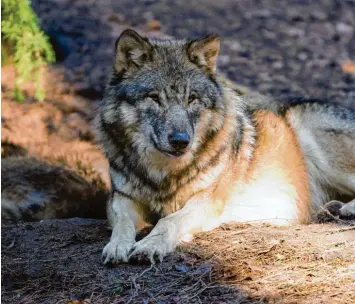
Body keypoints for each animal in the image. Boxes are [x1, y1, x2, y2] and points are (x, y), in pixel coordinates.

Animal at [95, 29, 355, 264]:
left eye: (192, 99)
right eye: (154, 98)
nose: (180, 140)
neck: (164, 175)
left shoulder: (206, 201)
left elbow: (167, 221)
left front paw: (149, 246)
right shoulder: (121, 198)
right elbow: (122, 223)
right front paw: (117, 246)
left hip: (311, 135)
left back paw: (348, 208)